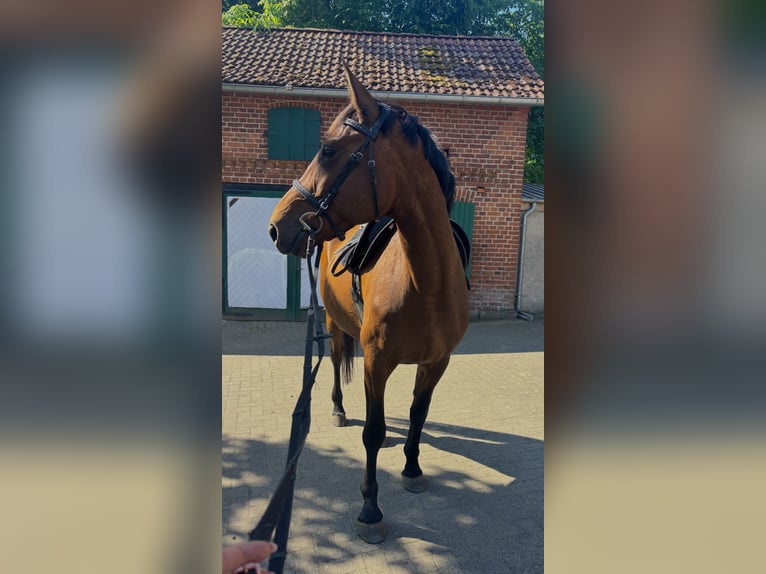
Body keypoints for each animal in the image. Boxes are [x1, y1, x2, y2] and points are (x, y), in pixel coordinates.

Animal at [268, 64, 469, 543]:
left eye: (327, 150)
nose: (276, 226)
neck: (427, 283)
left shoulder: (437, 361)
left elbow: (418, 413)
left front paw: (412, 470)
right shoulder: (377, 360)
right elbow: (373, 434)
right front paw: (370, 509)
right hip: (335, 326)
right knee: (337, 361)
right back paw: (340, 409)